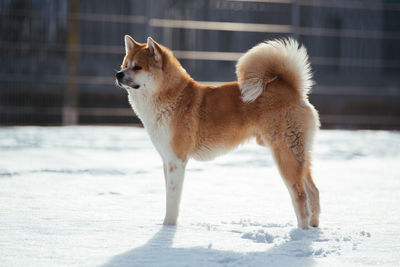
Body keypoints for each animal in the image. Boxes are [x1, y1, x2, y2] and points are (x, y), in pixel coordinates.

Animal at [115, 36, 318, 230]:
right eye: (124, 65)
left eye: (137, 67)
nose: (118, 74)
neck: (172, 98)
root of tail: (292, 89)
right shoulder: (167, 160)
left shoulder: (176, 161)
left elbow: (172, 200)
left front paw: (167, 228)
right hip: (300, 154)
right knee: (313, 192)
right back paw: (313, 228)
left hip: (285, 154)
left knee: (300, 196)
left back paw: (300, 233)